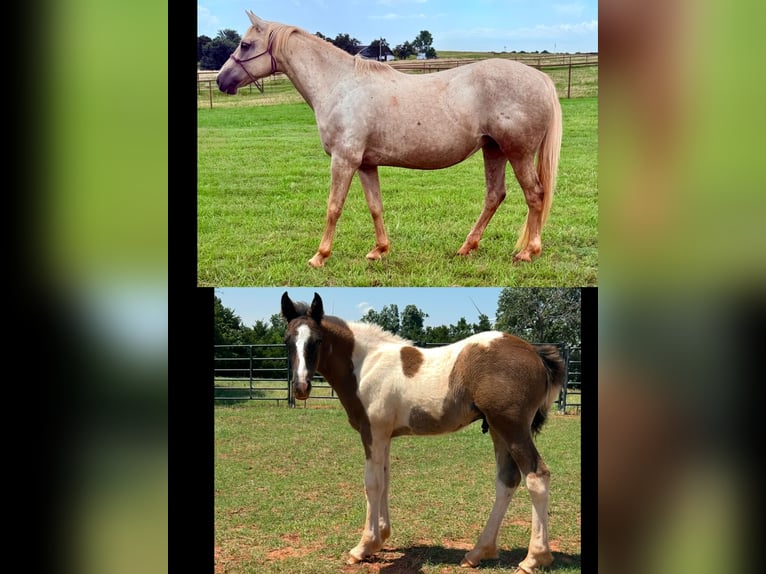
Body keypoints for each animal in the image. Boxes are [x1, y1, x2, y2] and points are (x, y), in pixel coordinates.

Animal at [217, 13, 563, 268]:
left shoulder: (344, 160)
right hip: (494, 149)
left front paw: (319, 256)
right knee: (495, 195)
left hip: (518, 152)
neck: (340, 85)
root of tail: (540, 78)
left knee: (534, 195)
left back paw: (528, 251)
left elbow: (333, 207)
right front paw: (379, 250)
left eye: (246, 44)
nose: (221, 80)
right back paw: (467, 247)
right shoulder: (365, 164)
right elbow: (375, 206)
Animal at [280, 292, 566, 572]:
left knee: (537, 476)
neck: (365, 365)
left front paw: (363, 547)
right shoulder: (385, 436)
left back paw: (534, 558)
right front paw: (381, 538)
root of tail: (535, 352)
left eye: (317, 341)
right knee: (507, 480)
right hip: (498, 429)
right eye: (287, 340)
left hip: (513, 428)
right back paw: (478, 553)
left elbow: (372, 484)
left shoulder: (372, 433)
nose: (301, 387)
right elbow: (385, 480)